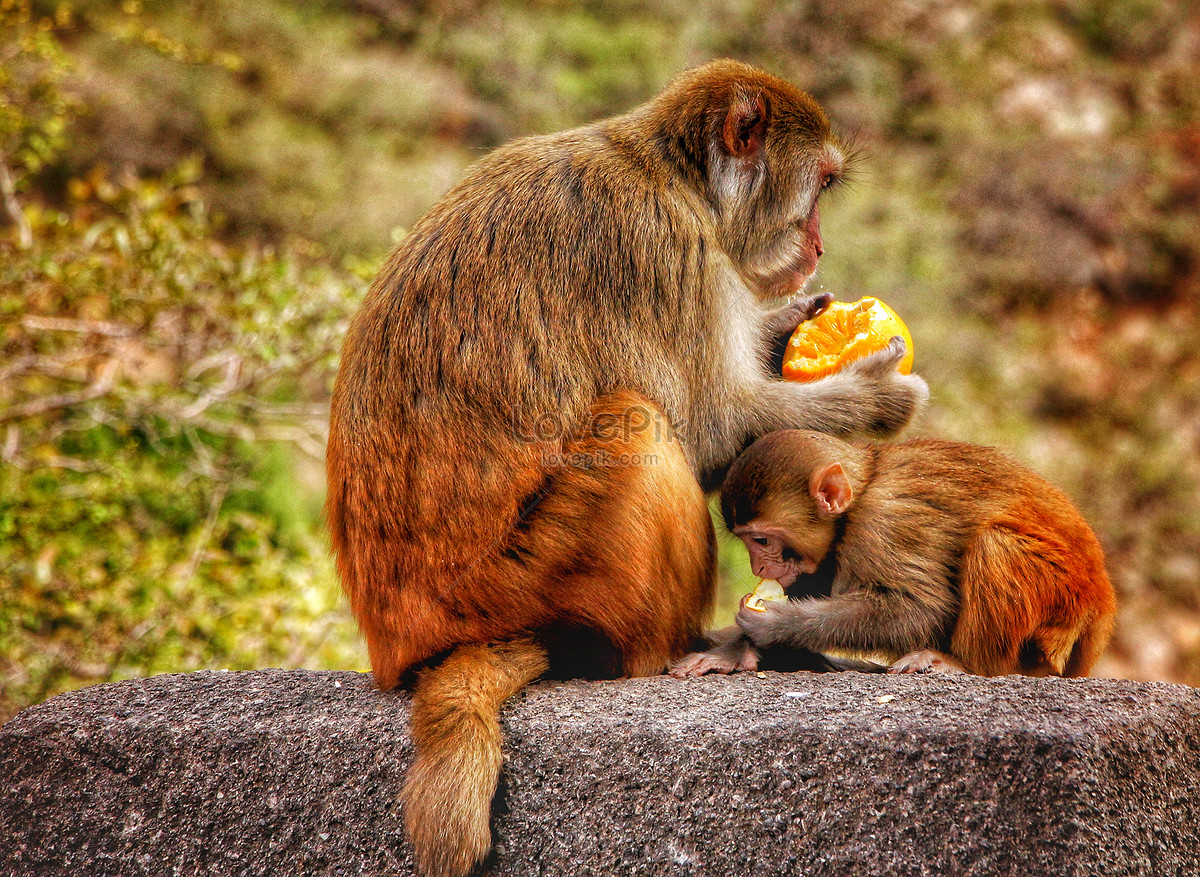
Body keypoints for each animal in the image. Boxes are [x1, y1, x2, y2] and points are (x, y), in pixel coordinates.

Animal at [326, 58, 926, 873]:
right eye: (822, 185)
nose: (820, 246)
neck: (676, 178)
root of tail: (409, 644)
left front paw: (785, 324)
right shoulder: (660, 248)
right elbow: (708, 428)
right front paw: (875, 393)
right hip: (522, 581)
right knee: (640, 431)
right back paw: (678, 650)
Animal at [676, 431, 1113, 681]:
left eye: (762, 541)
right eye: (748, 542)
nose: (758, 566)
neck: (865, 485)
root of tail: (1103, 607)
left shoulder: (881, 523)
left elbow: (924, 608)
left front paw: (777, 625)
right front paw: (735, 651)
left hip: (1065, 602)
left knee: (995, 545)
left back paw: (968, 665)